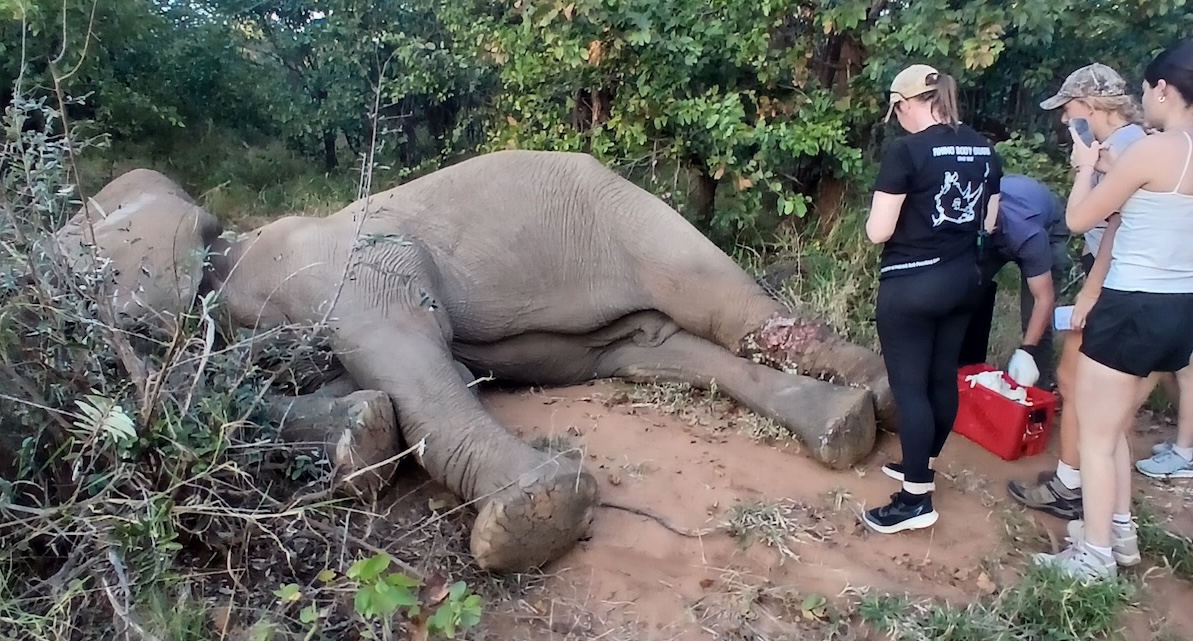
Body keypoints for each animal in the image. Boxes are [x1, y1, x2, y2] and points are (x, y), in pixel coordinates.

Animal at [49, 150, 895, 573]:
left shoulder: (345, 264)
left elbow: (409, 347)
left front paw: (535, 518)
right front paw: (358, 437)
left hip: (633, 217)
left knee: (723, 302)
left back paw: (879, 397)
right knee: (662, 348)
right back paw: (845, 426)